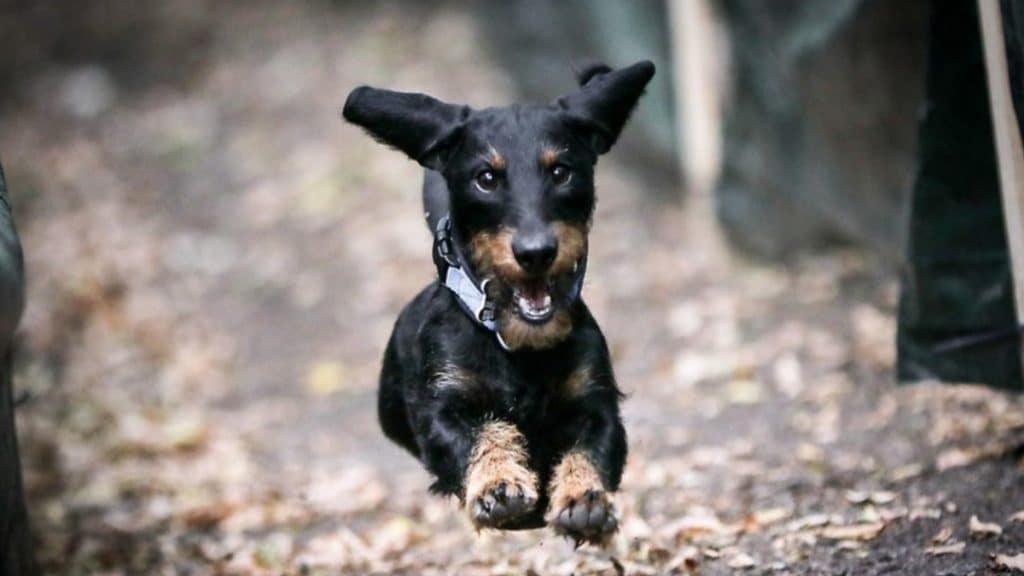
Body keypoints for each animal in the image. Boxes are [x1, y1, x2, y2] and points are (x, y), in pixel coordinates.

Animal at [342, 60, 655, 541]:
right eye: (486, 178)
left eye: (561, 171)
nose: (536, 252)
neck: (518, 342)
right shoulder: (442, 406)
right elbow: (481, 433)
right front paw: (498, 486)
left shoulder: (596, 403)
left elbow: (589, 447)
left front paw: (584, 500)